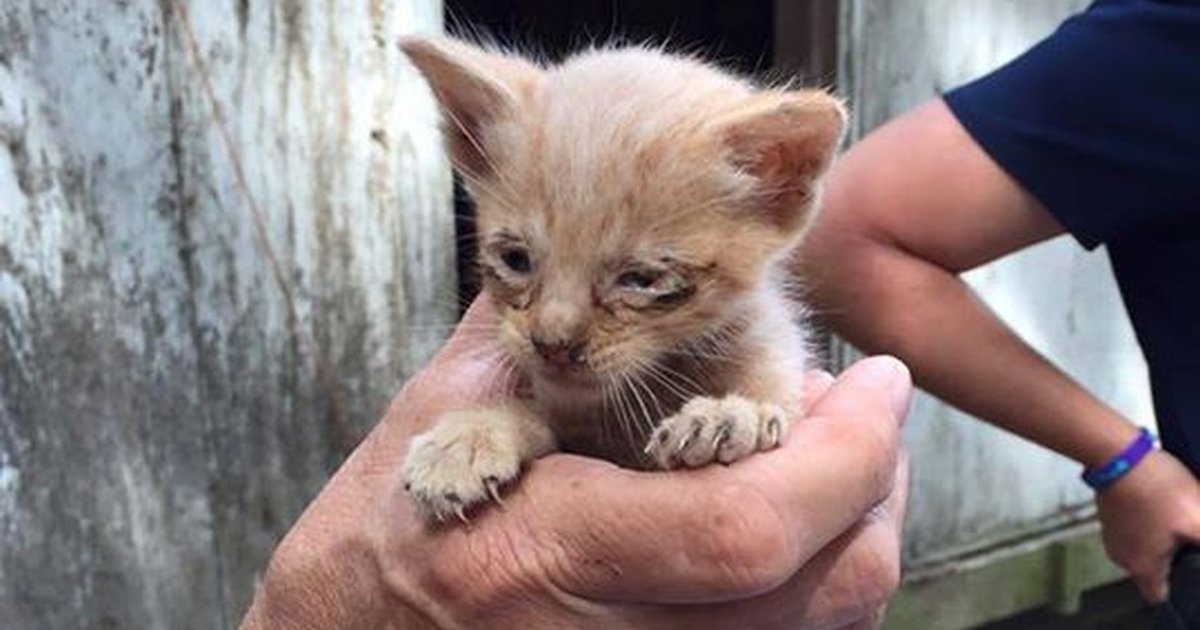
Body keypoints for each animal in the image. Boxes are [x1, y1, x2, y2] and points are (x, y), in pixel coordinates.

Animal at [403, 36, 844, 523]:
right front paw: (468, 438)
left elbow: (772, 401)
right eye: (515, 260)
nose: (552, 345)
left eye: (640, 279)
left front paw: (730, 416)